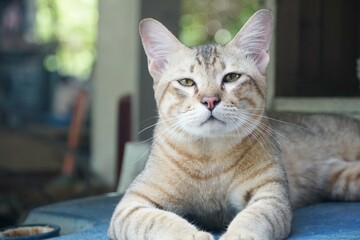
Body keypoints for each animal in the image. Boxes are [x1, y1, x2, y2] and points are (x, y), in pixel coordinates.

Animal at [107, 8, 360, 239]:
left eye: (231, 77)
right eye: (187, 82)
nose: (210, 100)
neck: (209, 158)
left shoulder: (270, 194)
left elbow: (254, 217)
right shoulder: (133, 204)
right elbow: (159, 221)